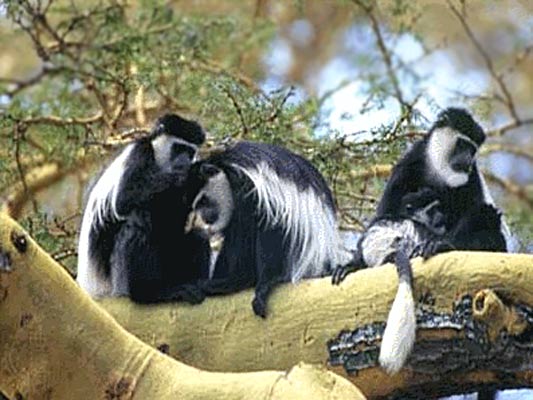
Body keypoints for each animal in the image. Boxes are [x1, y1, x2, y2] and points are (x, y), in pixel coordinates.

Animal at [77, 115, 210, 304]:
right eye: (179, 148)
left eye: (190, 152)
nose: (185, 161)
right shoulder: (141, 151)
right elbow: (124, 198)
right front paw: (191, 173)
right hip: (119, 279)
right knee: (137, 220)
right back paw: (149, 293)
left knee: (198, 236)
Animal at [183, 142, 350, 318]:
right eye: (194, 206)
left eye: (203, 201)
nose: (205, 218)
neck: (226, 168)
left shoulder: (247, 181)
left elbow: (270, 220)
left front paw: (263, 286)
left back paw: (239, 281)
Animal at [330, 107, 510, 376]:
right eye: (462, 144)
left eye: (473, 150)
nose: (468, 161)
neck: (440, 174)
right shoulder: (407, 166)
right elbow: (384, 214)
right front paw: (352, 264)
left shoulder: (471, 182)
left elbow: (478, 218)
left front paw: (440, 244)